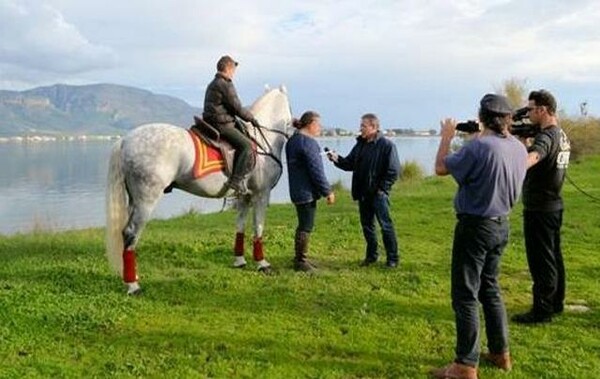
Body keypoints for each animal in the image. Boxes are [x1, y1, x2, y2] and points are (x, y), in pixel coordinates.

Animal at [105, 86, 292, 294]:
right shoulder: (261, 194)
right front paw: (262, 264)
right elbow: (258, 228)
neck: (260, 141)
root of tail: (125, 140)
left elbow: (240, 227)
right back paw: (133, 285)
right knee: (130, 234)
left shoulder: (245, 197)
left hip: (134, 200)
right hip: (146, 200)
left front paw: (240, 261)